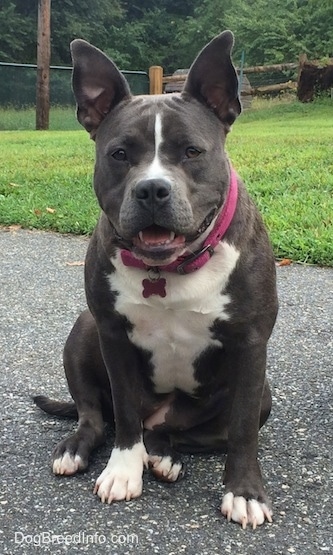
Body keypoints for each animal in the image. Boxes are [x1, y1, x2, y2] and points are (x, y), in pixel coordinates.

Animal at [33, 31, 278, 528]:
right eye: (119, 154)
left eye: (192, 152)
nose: (151, 189)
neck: (170, 267)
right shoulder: (113, 335)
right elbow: (125, 414)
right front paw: (122, 472)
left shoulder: (250, 345)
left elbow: (242, 429)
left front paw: (244, 493)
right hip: (83, 330)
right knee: (95, 416)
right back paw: (79, 449)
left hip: (257, 393)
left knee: (185, 434)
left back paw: (164, 454)